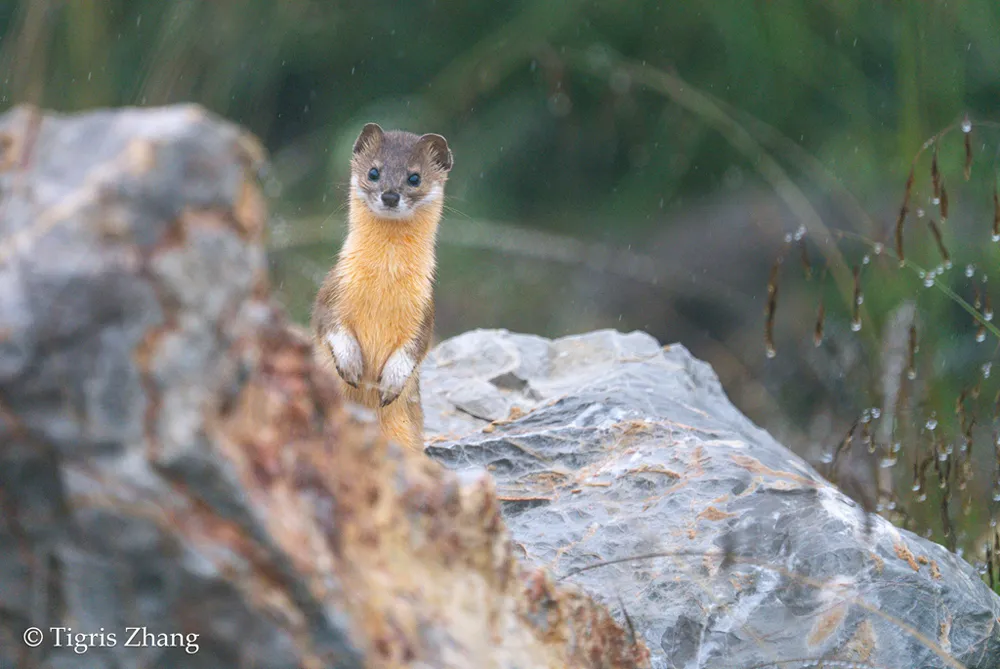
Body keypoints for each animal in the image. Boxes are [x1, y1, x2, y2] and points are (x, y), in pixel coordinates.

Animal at [310, 122, 456, 452]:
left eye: (414, 177)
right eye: (374, 172)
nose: (390, 196)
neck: (383, 283)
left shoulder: (425, 310)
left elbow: (415, 349)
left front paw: (390, 384)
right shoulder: (331, 290)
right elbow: (329, 326)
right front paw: (351, 364)